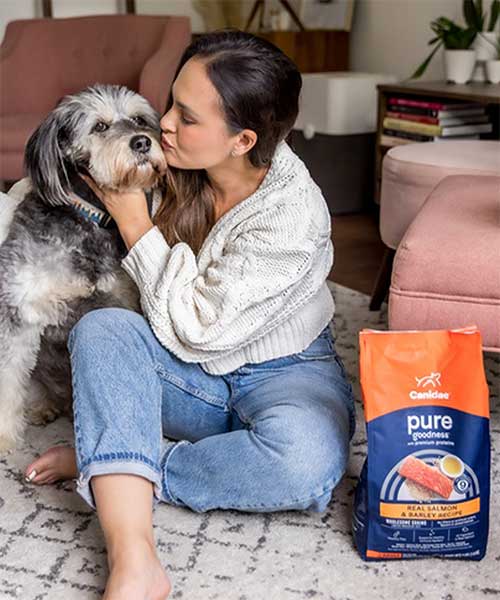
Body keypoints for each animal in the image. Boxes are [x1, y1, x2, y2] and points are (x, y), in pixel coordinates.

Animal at [0, 83, 168, 450]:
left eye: (139, 120)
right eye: (100, 126)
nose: (142, 142)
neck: (90, 220)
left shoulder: (119, 302)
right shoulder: (20, 307)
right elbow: (7, 377)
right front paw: (3, 437)